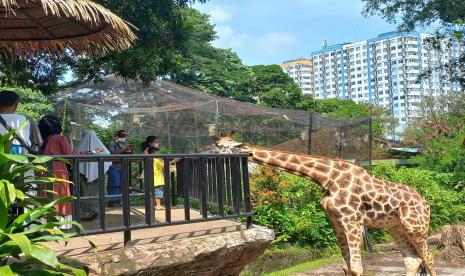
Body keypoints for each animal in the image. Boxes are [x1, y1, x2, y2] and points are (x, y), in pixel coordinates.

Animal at [210, 135, 436, 276]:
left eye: (220, 147)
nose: (204, 154)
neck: (327, 178)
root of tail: (426, 203)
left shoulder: (352, 220)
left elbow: (356, 267)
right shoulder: (335, 221)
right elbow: (346, 267)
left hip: (416, 226)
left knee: (429, 259)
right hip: (396, 227)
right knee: (412, 260)